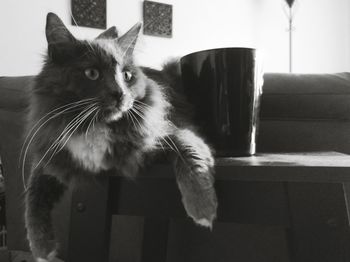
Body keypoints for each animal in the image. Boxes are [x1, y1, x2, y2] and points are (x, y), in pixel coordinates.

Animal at [23, 12, 217, 262]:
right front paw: (42, 249)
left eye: (127, 76)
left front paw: (202, 209)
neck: (94, 125)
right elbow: (32, 197)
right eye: (92, 73)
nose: (120, 94)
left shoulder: (173, 132)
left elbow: (191, 157)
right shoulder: (52, 157)